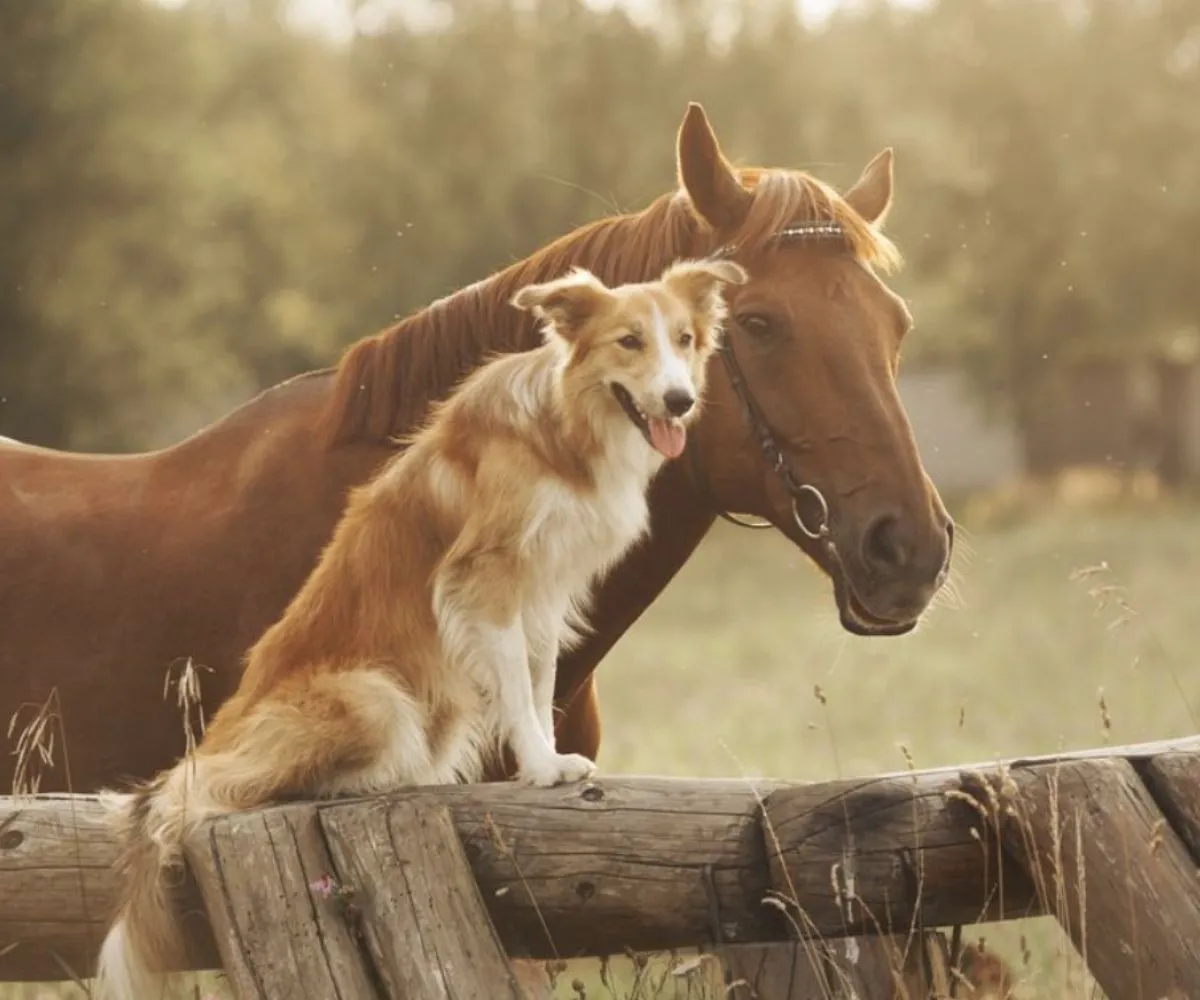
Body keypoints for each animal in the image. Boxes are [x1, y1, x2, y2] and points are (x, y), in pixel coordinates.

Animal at [93, 253, 744, 993]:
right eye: (629, 342)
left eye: (685, 341)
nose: (680, 401)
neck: (564, 427)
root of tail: (212, 741)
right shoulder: (486, 579)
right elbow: (517, 686)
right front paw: (542, 768)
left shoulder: (544, 591)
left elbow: (540, 680)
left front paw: (547, 762)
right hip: (374, 698)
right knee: (214, 793)